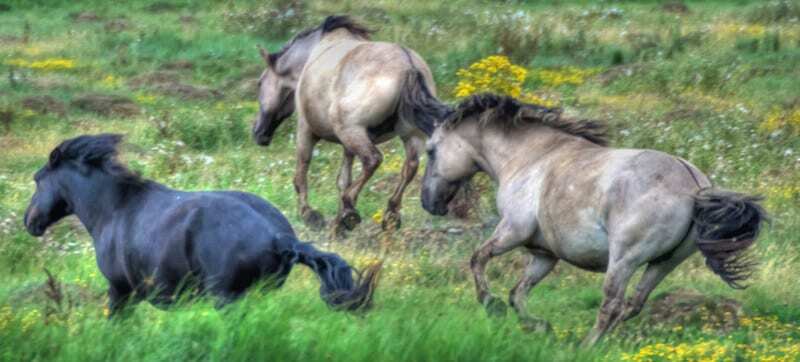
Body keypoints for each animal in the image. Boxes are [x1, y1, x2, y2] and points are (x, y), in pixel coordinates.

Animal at [21, 134, 378, 316]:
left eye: (37, 179)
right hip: (261, 294)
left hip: (226, 299)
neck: (114, 208)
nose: (30, 221)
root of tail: (278, 237)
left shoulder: (120, 290)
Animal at [418, 94, 764, 346]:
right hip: (665, 261)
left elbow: (477, 259)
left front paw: (492, 306)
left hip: (624, 258)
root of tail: (694, 186)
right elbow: (518, 294)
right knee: (633, 304)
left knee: (612, 305)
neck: (531, 157)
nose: (428, 202)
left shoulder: (512, 230)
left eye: (431, 150)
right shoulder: (544, 254)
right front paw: (539, 327)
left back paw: (586, 348)